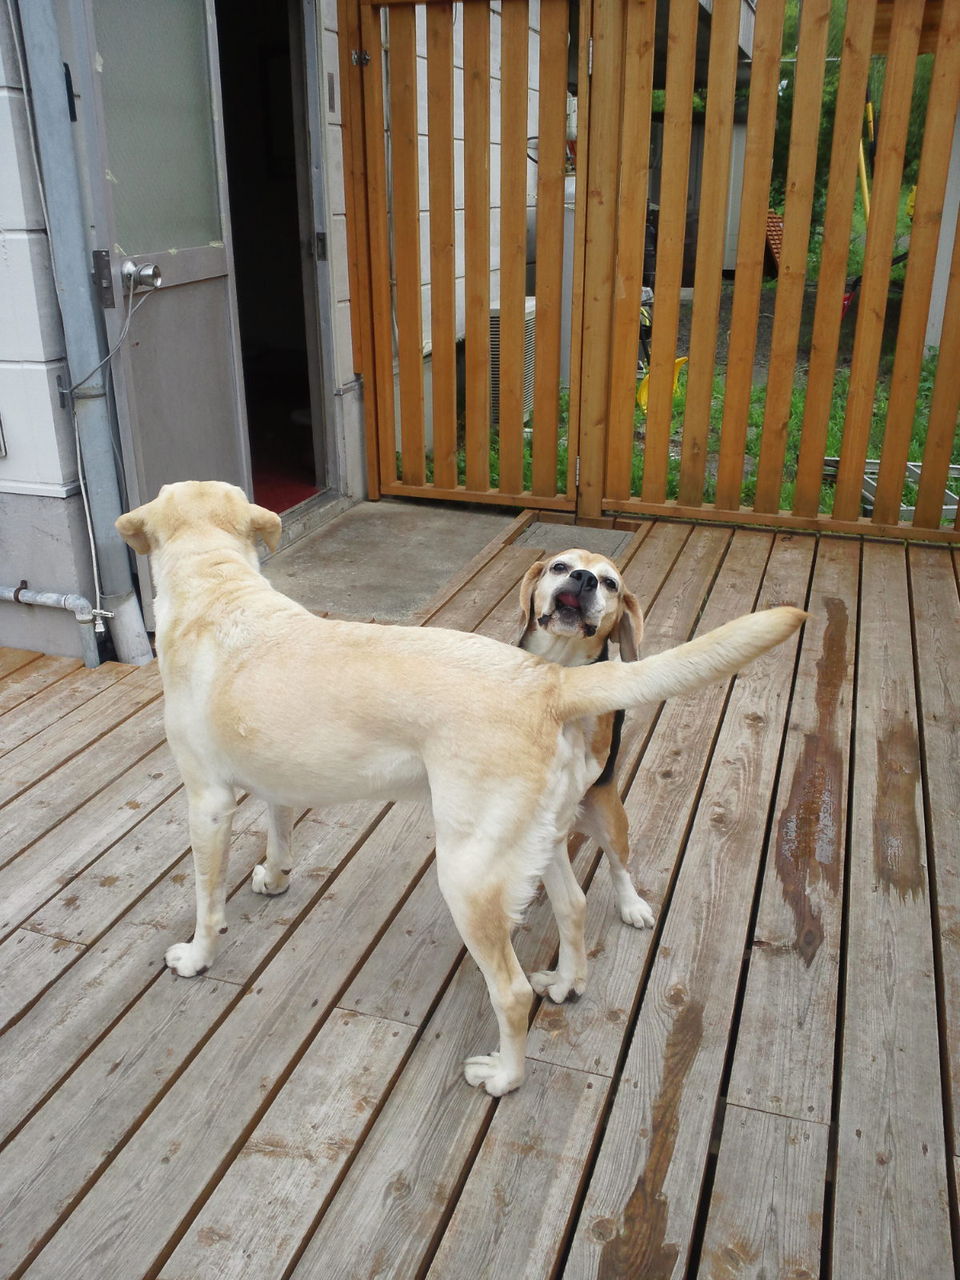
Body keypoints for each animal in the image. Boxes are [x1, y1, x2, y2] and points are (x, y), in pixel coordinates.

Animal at [513, 550, 656, 938]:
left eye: (610, 583)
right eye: (559, 566)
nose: (584, 579)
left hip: (611, 821)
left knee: (619, 867)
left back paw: (632, 905)